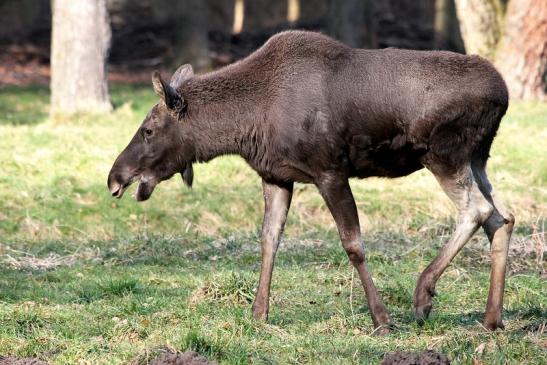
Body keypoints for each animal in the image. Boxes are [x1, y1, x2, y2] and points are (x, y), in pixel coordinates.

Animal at [109, 32, 516, 332]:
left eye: (148, 129)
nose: (115, 178)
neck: (246, 124)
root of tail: (505, 94)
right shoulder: (276, 176)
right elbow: (269, 239)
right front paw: (259, 313)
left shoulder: (329, 170)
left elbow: (353, 244)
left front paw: (381, 318)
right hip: (477, 157)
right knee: (503, 216)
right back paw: (491, 318)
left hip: (444, 154)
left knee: (477, 211)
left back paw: (423, 295)